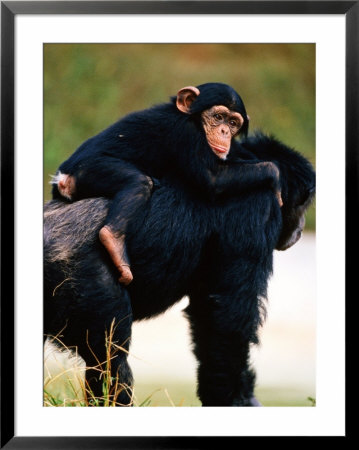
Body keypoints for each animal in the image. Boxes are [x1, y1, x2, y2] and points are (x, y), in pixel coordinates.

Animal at [44, 131, 316, 408]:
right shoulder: (256, 207)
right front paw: (236, 398)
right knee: (109, 358)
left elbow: (206, 313)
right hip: (83, 280)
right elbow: (228, 313)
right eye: (304, 204)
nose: (302, 224)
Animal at [52, 82, 284, 284]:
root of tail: (62, 178)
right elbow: (214, 178)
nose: (225, 132)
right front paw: (274, 173)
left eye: (233, 123)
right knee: (139, 183)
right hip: (89, 170)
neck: (193, 119)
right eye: (219, 117)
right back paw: (113, 241)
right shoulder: (187, 134)